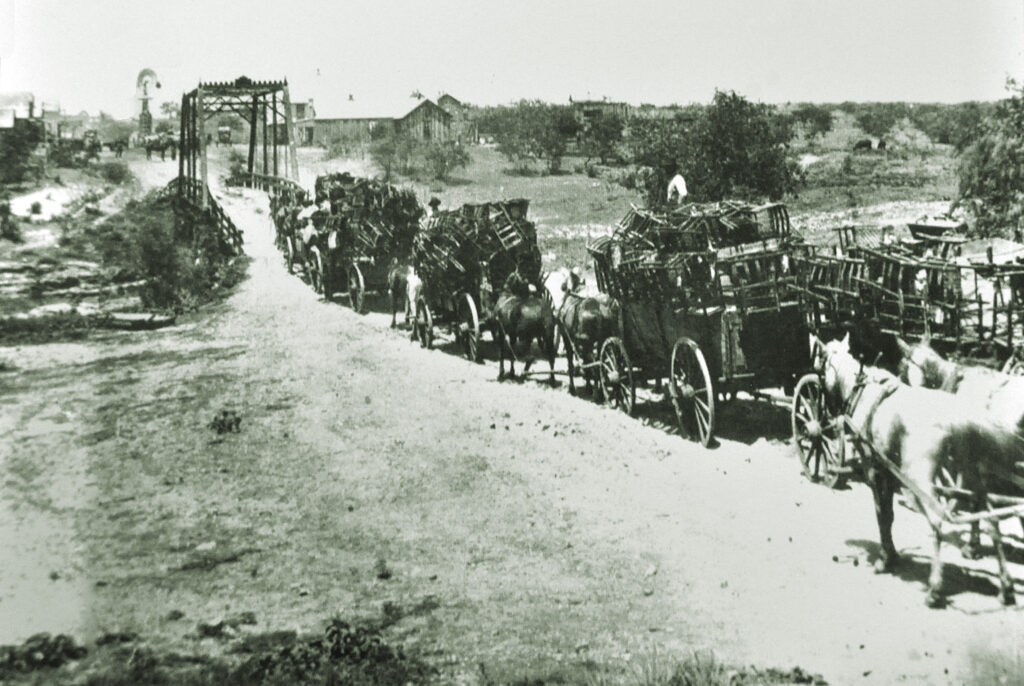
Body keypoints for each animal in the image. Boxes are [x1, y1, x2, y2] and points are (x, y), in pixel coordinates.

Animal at [819, 335, 1019, 610]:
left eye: (821, 364)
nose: (827, 410)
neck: (864, 392)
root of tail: (956, 417)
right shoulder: (889, 472)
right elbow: (889, 515)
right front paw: (891, 554)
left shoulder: (874, 470)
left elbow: (882, 514)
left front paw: (885, 558)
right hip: (971, 474)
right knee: (991, 520)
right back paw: (1005, 585)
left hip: (920, 478)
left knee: (938, 521)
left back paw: (935, 588)